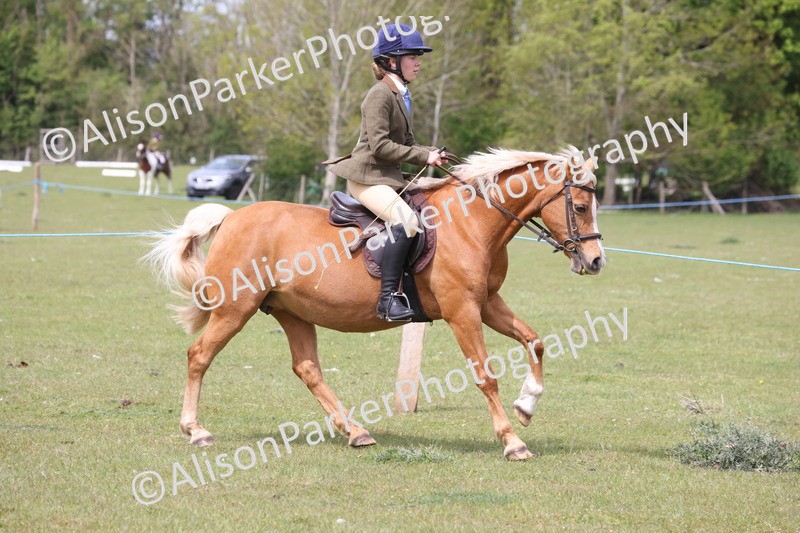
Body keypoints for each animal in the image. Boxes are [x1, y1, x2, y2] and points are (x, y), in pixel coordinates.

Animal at [142, 147, 606, 460]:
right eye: (581, 206)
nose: (596, 261)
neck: (472, 221)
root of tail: (232, 217)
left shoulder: (488, 303)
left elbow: (535, 341)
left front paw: (526, 406)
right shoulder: (462, 312)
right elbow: (485, 376)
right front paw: (512, 441)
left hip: (292, 311)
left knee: (308, 369)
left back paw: (355, 431)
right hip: (234, 310)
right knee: (199, 356)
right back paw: (196, 430)